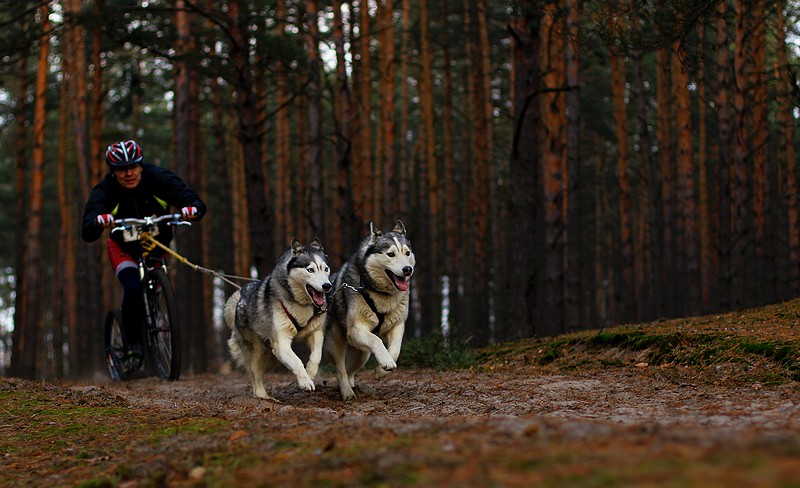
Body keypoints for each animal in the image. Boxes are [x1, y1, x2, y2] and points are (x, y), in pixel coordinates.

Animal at [324, 221, 416, 400]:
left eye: (407, 253)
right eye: (391, 254)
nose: (408, 269)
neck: (381, 293)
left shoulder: (397, 325)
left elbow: (396, 349)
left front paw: (382, 371)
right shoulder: (356, 329)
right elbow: (376, 340)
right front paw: (385, 361)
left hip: (361, 355)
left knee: (349, 369)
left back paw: (352, 385)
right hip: (337, 342)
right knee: (340, 370)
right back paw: (347, 392)